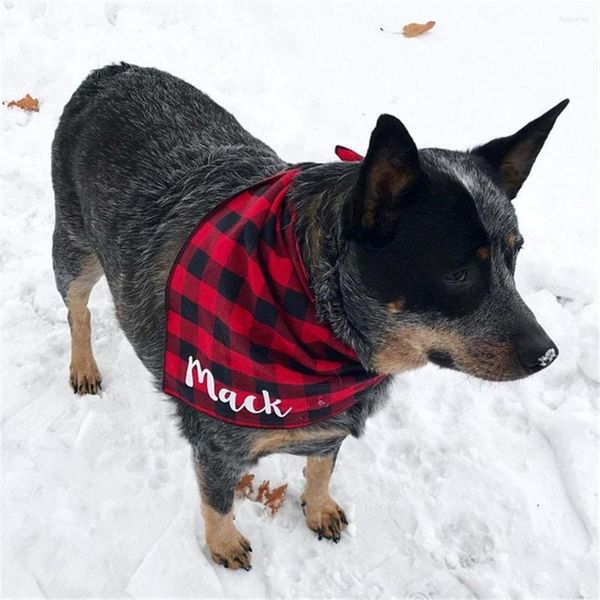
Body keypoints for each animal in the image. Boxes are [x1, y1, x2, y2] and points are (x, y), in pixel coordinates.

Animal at [51, 63, 568, 568]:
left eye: (513, 255)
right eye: (458, 272)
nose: (546, 354)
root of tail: (111, 71)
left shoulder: (332, 420)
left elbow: (322, 467)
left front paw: (319, 508)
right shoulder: (215, 442)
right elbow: (217, 501)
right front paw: (223, 544)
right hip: (74, 247)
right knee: (78, 310)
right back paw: (84, 366)